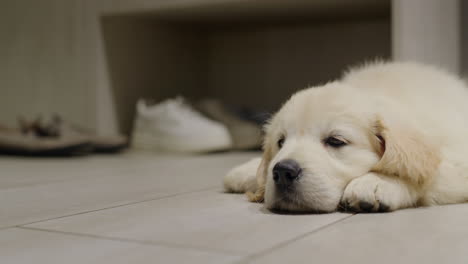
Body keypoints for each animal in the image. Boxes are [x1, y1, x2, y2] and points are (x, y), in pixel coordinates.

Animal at [224, 61, 468, 212]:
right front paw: (246, 172)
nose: (283, 171)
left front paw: (376, 182)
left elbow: (419, 172)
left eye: (335, 141)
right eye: (280, 142)